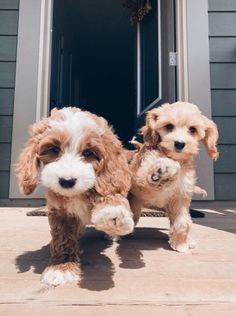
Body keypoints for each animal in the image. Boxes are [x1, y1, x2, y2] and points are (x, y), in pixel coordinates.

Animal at [17, 107, 135, 286]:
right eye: (54, 149)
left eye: (88, 153)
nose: (67, 181)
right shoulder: (60, 211)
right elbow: (63, 237)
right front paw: (61, 267)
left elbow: (110, 194)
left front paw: (112, 214)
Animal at [128, 102, 218, 253]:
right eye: (169, 126)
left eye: (192, 129)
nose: (180, 143)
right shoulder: (140, 175)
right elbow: (150, 173)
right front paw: (162, 170)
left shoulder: (181, 196)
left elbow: (183, 221)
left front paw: (180, 244)